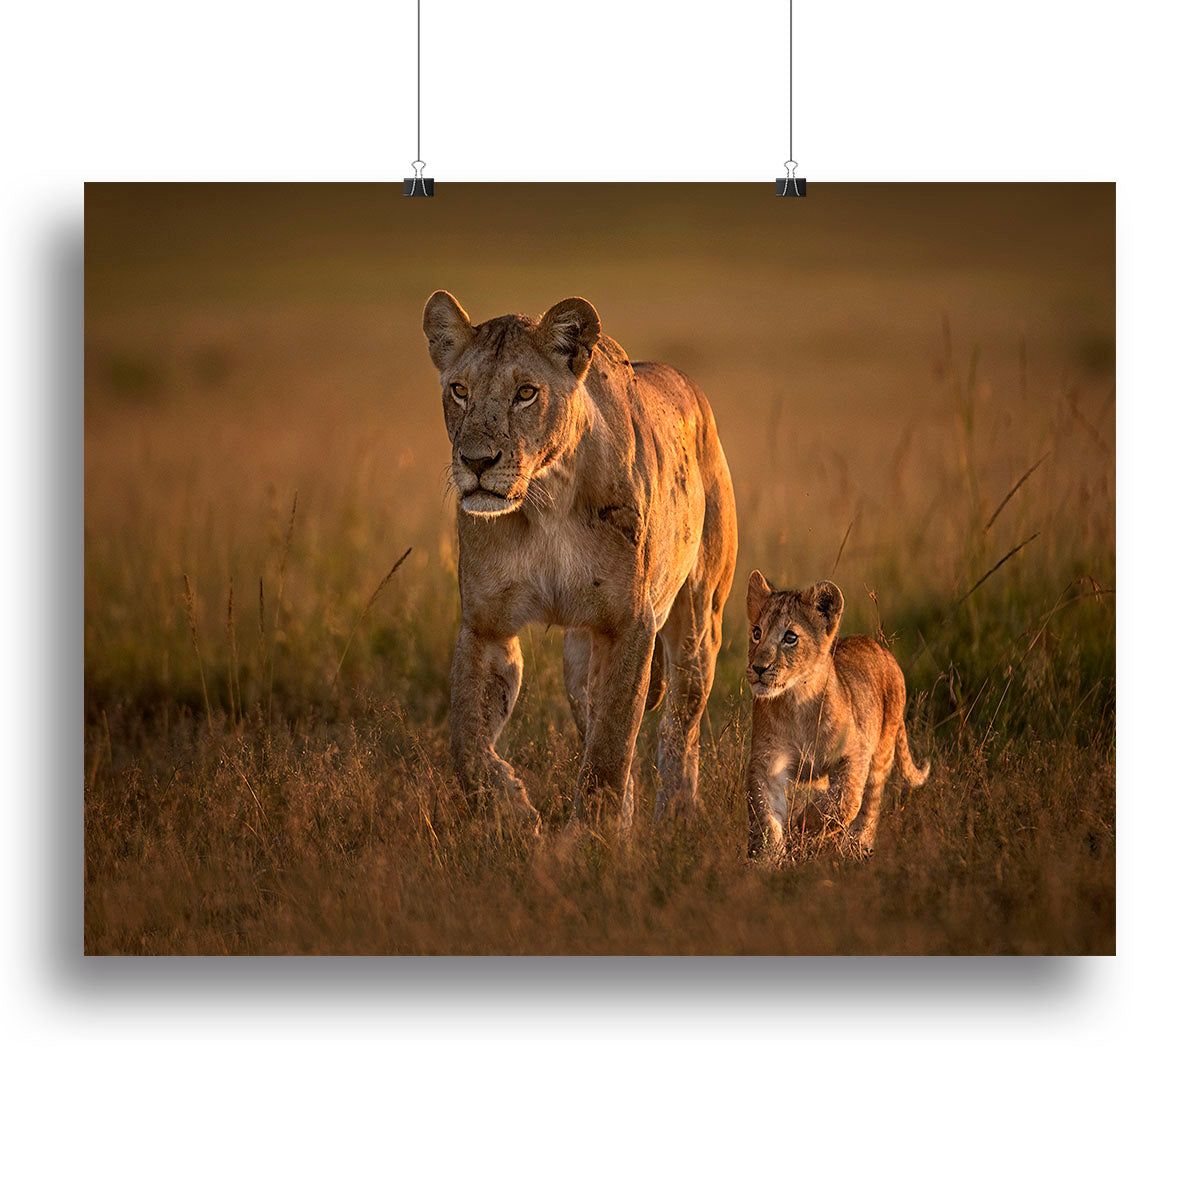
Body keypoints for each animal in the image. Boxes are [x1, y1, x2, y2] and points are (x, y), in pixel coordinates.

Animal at [422, 290, 737, 829]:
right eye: (460, 390)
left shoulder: (629, 624)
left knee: (680, 727)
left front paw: (592, 838)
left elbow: (611, 748)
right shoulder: (485, 626)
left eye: (526, 393)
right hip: (578, 659)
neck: (545, 500)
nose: (476, 462)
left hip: (699, 620)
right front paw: (513, 812)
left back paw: (675, 819)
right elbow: (467, 744)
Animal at [744, 571, 929, 858]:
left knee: (870, 805)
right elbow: (766, 815)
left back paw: (857, 847)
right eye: (756, 632)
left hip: (882, 751)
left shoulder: (856, 752)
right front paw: (766, 858)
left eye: (790, 638)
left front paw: (804, 825)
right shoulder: (768, 761)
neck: (797, 701)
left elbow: (846, 799)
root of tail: (880, 647)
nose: (758, 668)